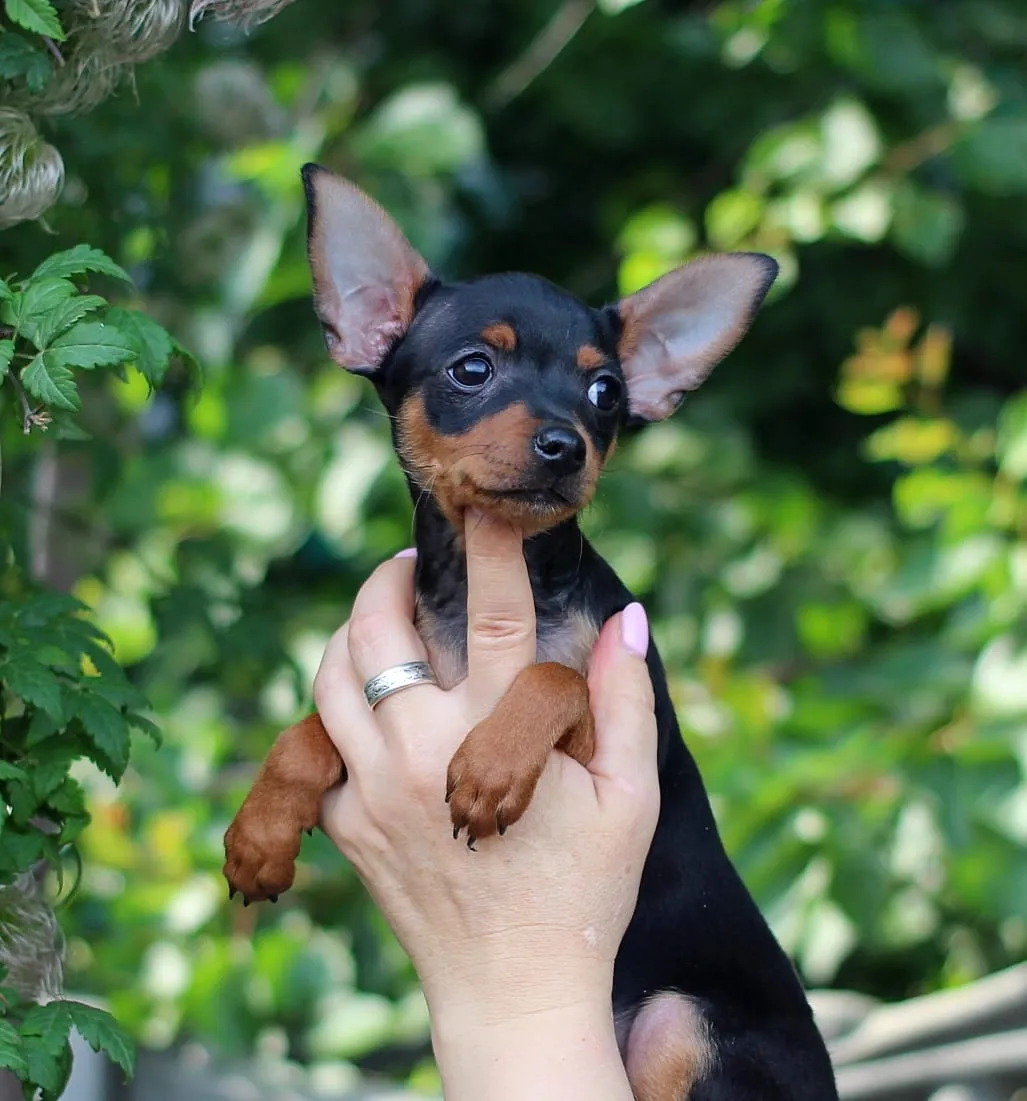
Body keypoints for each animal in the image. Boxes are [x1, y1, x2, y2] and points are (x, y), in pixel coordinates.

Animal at [222, 167, 832, 1101]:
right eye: (472, 369)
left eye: (605, 392)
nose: (563, 445)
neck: (481, 588)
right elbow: (307, 731)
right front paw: (258, 833)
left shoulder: (608, 729)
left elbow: (557, 676)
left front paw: (490, 767)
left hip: (677, 1026)